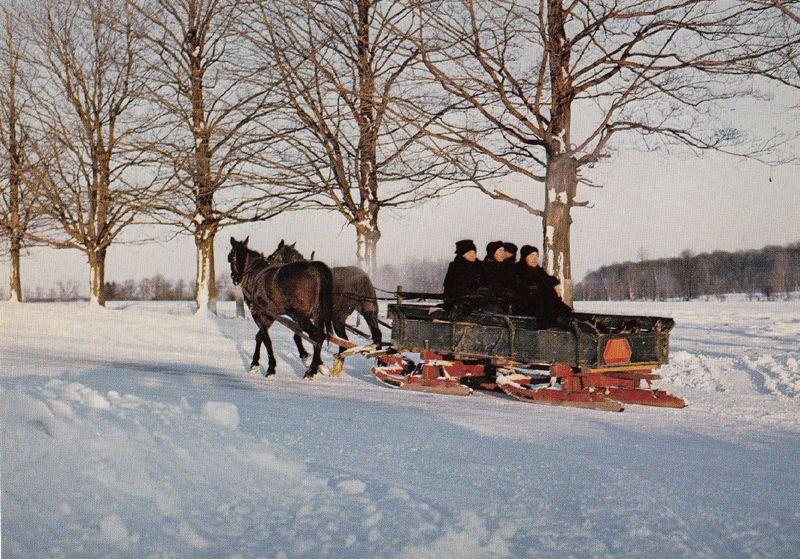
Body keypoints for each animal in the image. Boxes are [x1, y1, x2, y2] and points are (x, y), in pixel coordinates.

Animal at [228, 237, 334, 380]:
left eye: (230, 258)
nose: (235, 278)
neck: (254, 275)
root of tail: (317, 269)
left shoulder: (259, 313)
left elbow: (266, 339)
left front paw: (270, 368)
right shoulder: (271, 315)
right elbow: (260, 336)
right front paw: (255, 364)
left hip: (302, 316)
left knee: (317, 336)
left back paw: (311, 371)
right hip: (316, 316)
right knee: (319, 336)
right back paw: (316, 365)